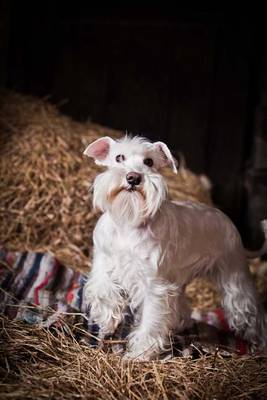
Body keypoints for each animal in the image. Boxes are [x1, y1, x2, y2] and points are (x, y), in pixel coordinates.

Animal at [82, 136, 266, 360]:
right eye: (119, 157)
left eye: (149, 162)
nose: (133, 178)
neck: (129, 222)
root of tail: (228, 222)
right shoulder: (103, 262)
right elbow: (103, 290)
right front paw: (108, 322)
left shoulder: (154, 285)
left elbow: (151, 320)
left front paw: (139, 354)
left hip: (234, 277)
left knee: (250, 310)